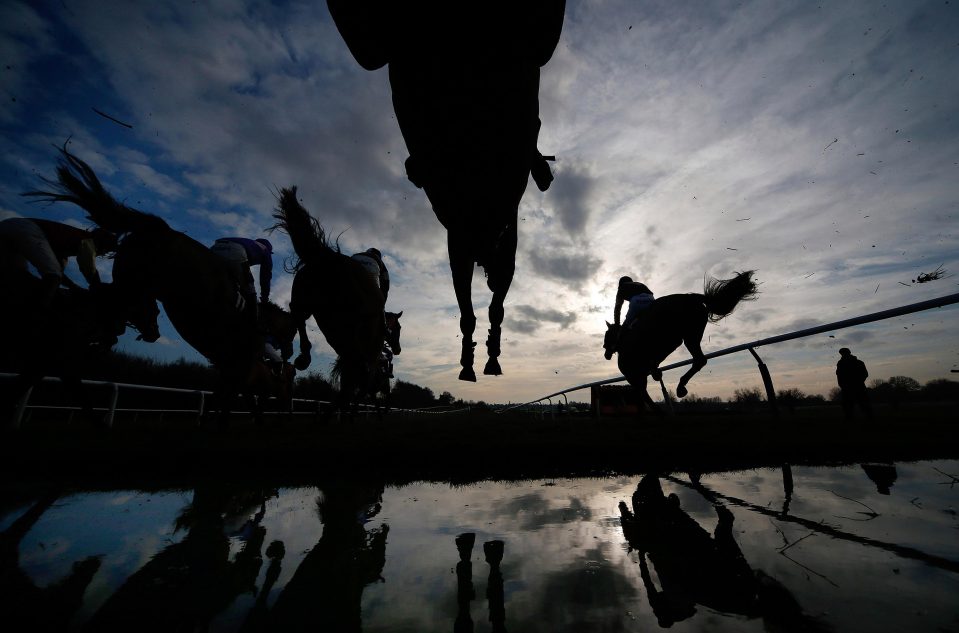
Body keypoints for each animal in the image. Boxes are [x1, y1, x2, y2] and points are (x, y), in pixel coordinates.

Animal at [608, 272, 756, 414]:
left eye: (607, 336)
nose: (606, 354)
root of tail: (691, 297)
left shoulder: (633, 375)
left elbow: (645, 396)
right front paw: (656, 373)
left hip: (685, 335)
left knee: (698, 359)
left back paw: (679, 388)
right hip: (692, 333)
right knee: (699, 360)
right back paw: (680, 387)